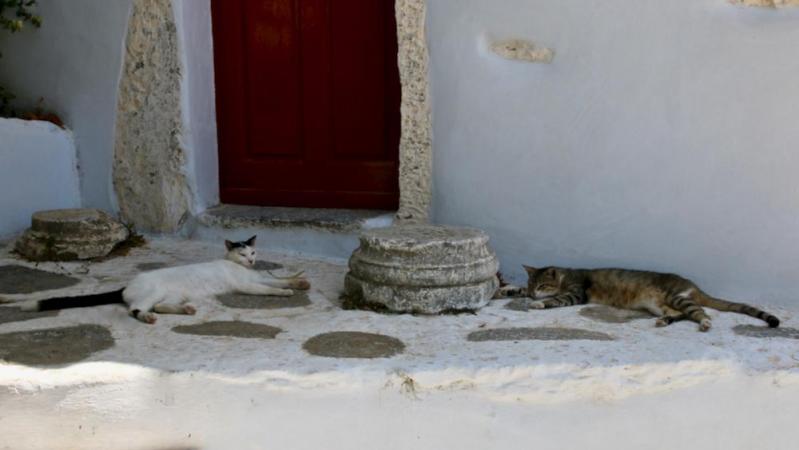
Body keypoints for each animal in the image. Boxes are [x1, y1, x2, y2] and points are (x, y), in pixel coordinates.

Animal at [21, 236, 310, 324]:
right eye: (241, 253)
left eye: (253, 252)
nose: (250, 261)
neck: (243, 269)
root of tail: (127, 284)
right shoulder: (247, 285)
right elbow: (269, 289)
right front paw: (285, 294)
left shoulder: (258, 277)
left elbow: (280, 279)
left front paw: (298, 283)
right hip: (151, 293)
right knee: (136, 309)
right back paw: (147, 317)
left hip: (173, 294)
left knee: (161, 306)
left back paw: (187, 309)